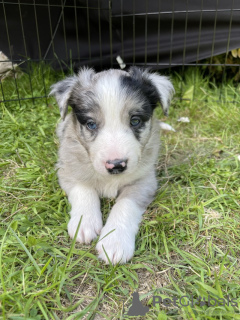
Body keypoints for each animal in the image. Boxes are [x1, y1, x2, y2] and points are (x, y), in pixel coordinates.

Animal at [50, 66, 174, 264]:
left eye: (135, 121)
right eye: (91, 124)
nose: (116, 165)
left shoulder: (144, 180)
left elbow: (125, 204)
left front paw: (115, 242)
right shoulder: (68, 169)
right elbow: (84, 190)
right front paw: (84, 223)